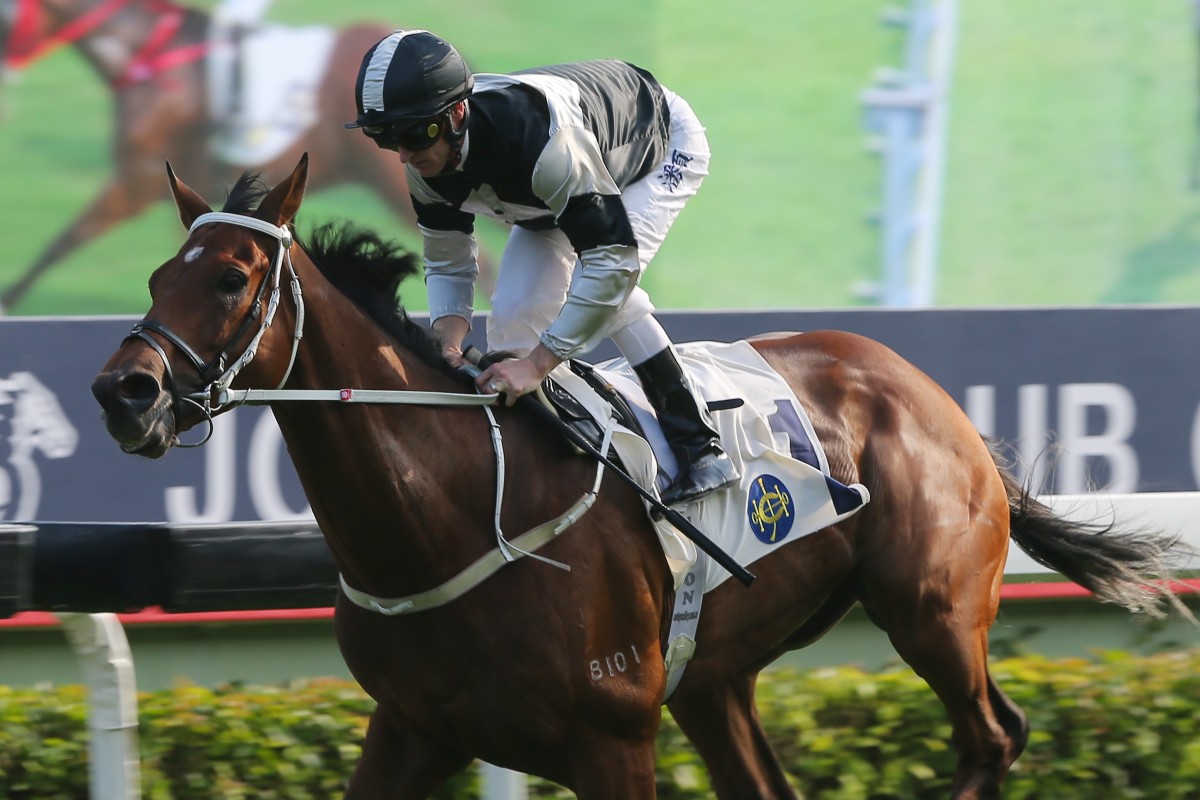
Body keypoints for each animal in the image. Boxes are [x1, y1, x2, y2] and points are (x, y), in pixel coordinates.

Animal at [0, 0, 477, 311]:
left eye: (5, 22)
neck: (150, 55)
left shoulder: (138, 177)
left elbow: (64, 241)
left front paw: (10, 299)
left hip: (392, 180)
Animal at [88, 153, 1195, 796]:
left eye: (231, 277)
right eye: (157, 276)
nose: (123, 390)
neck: (449, 514)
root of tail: (938, 399)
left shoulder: (611, 736)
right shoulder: (413, 729)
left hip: (931, 609)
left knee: (992, 736)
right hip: (715, 674)